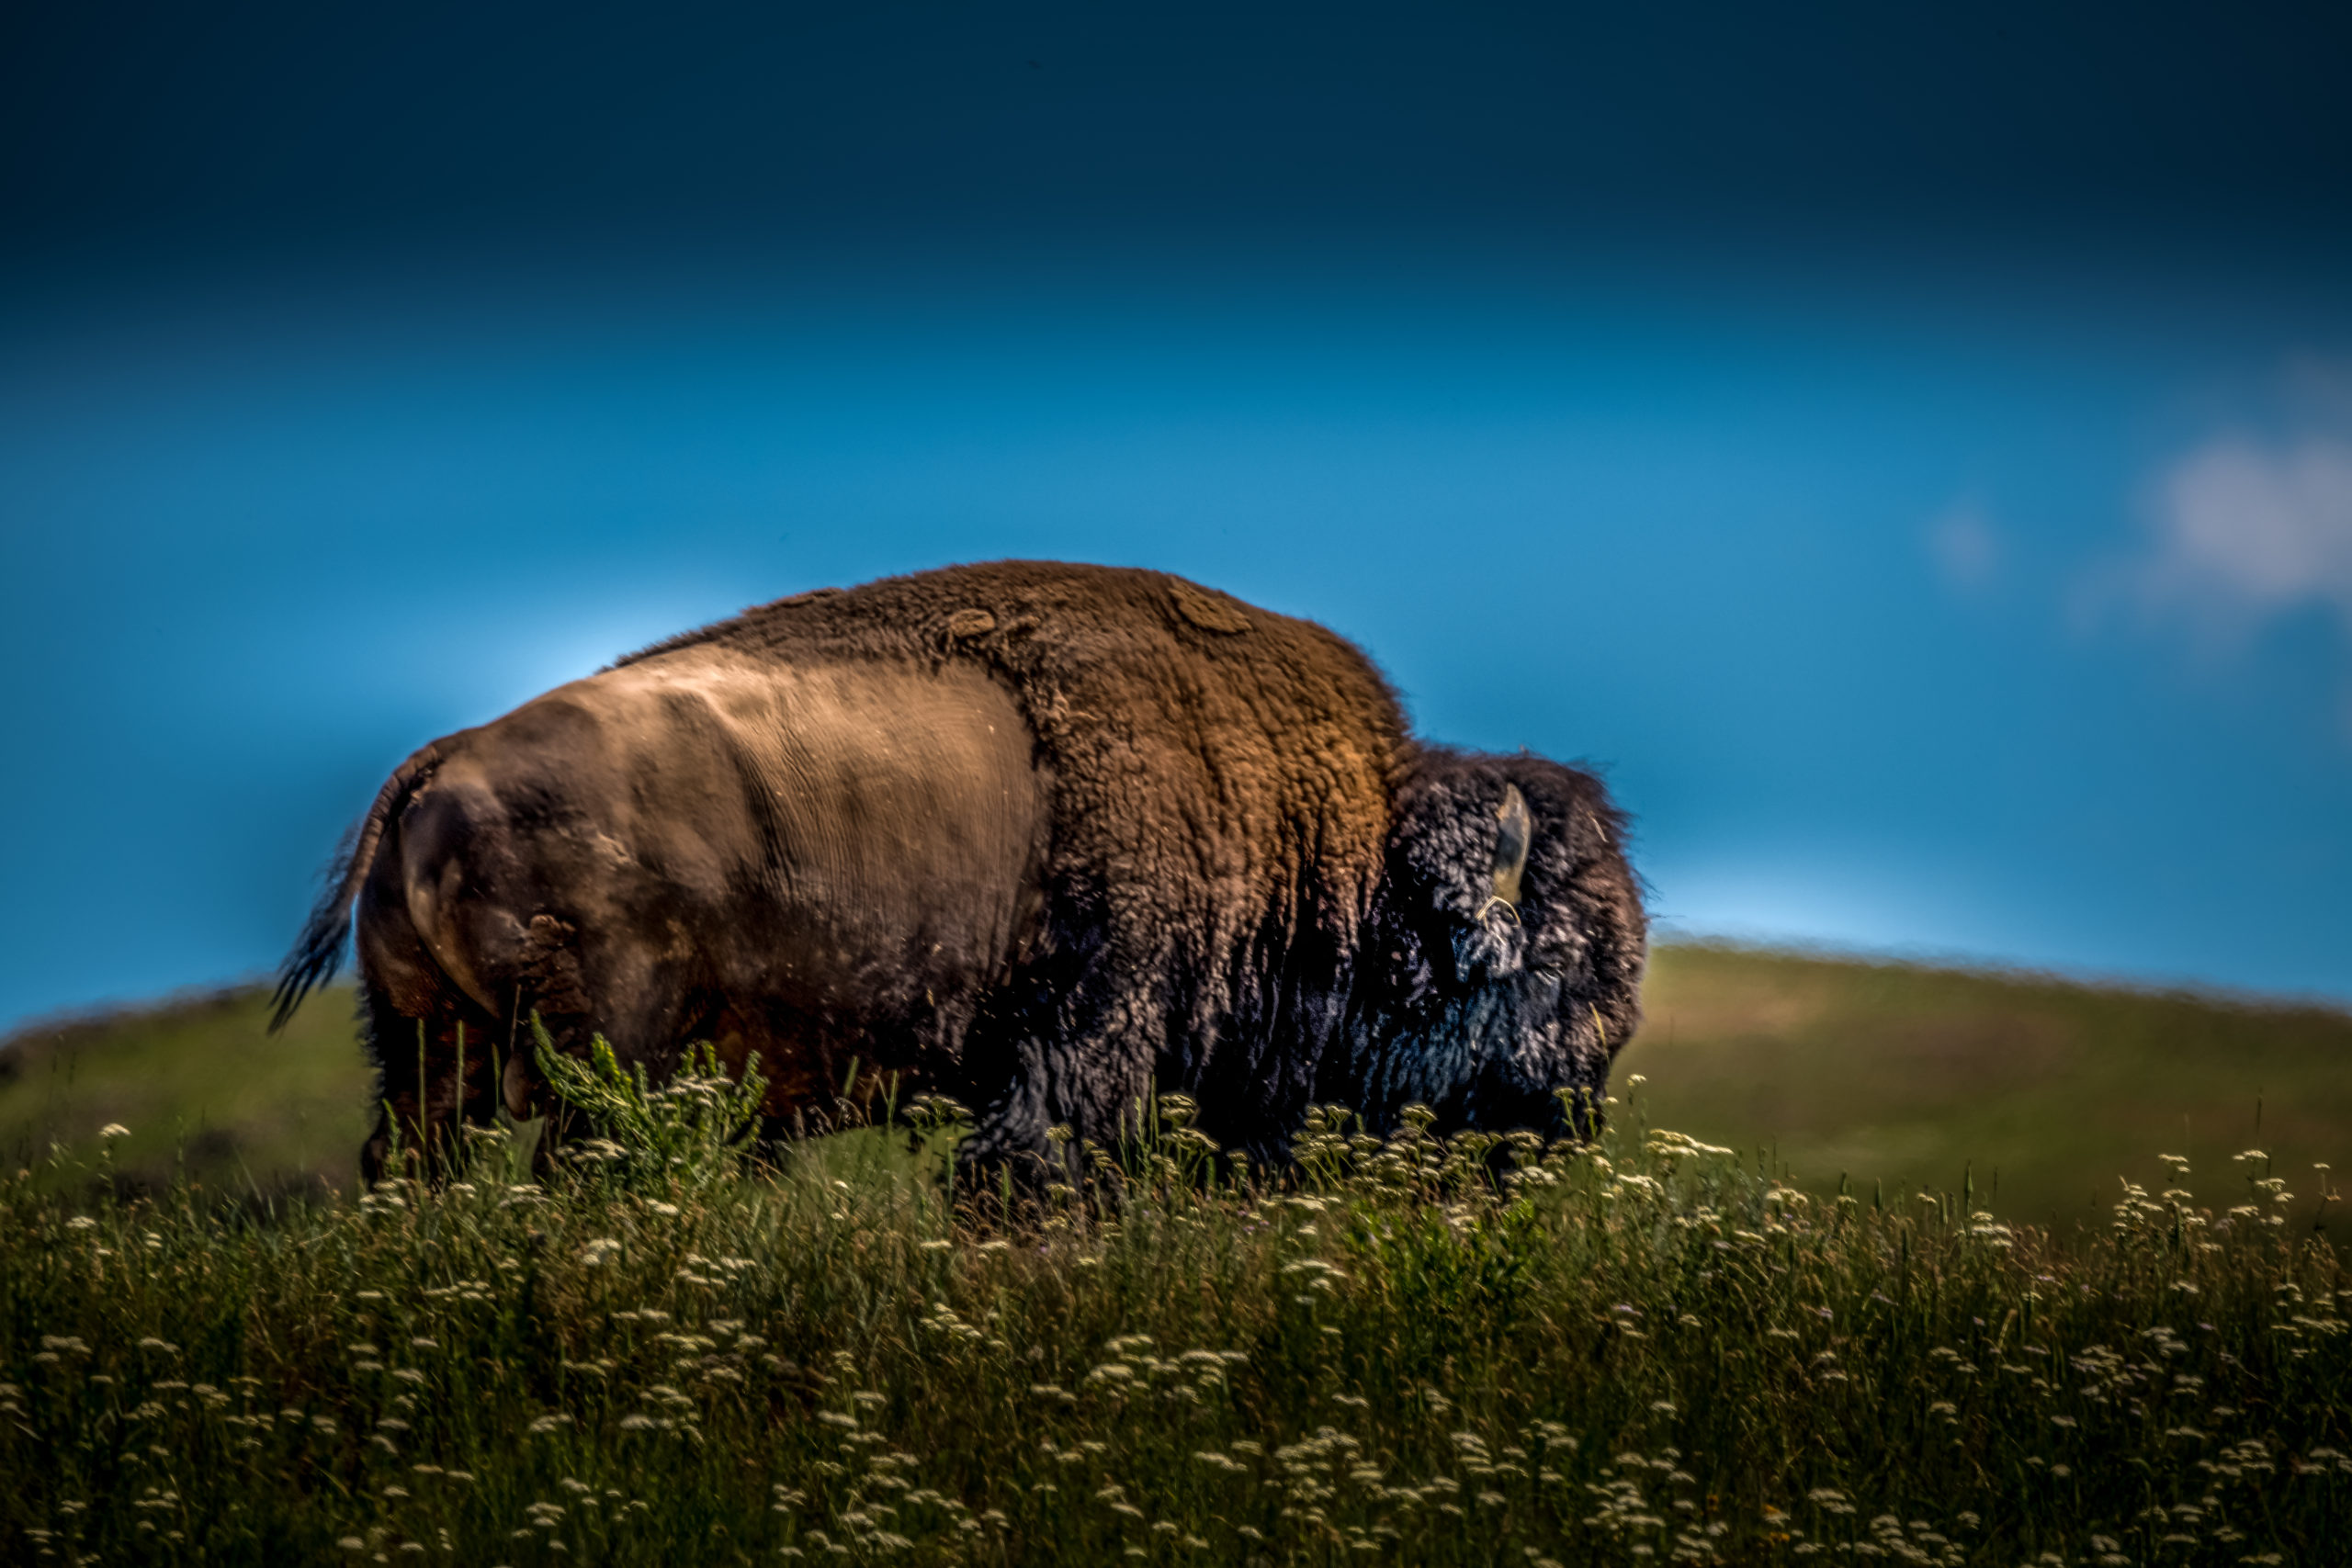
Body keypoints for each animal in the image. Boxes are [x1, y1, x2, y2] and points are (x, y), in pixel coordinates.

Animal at [272, 561, 1644, 1181]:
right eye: (1562, 962)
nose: (1567, 1115)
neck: (1339, 839)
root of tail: (438, 763)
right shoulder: (1083, 1049)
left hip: (427, 1055)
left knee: (417, 1162)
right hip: (600, 1068)